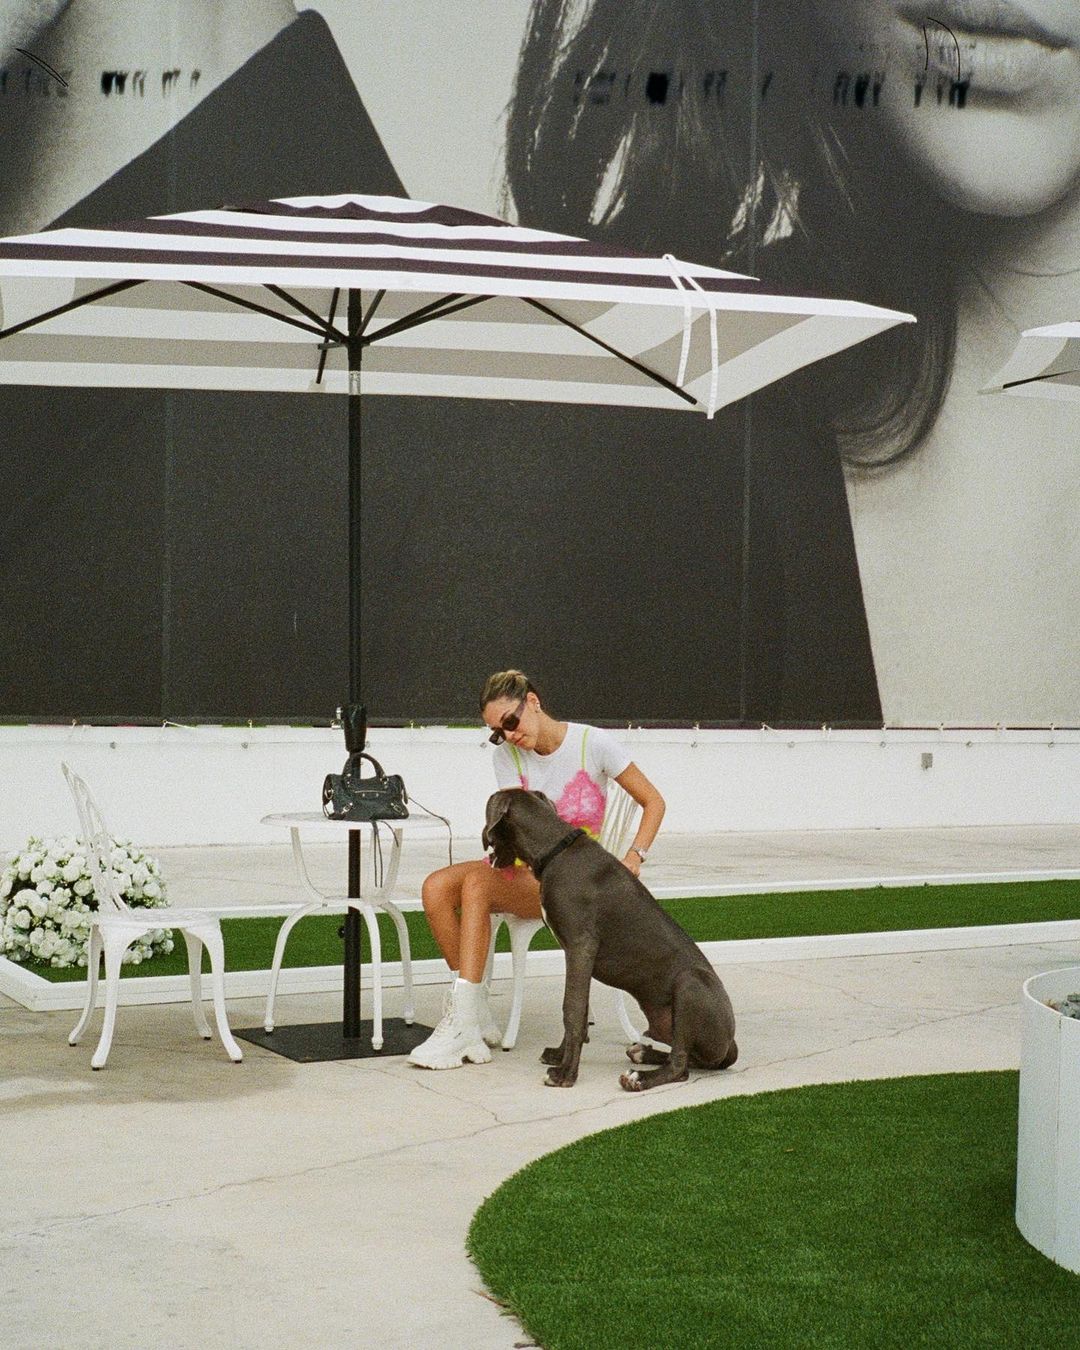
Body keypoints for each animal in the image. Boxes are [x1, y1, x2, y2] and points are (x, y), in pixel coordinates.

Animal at [483, 788, 737, 1091]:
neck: (556, 850)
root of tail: (731, 1042)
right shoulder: (576, 953)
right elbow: (579, 1010)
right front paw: (559, 1055)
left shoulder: (581, 947)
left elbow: (572, 1009)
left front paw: (565, 1073)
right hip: (667, 1023)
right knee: (688, 1057)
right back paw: (643, 1053)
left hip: (690, 983)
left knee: (680, 1067)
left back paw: (639, 1077)